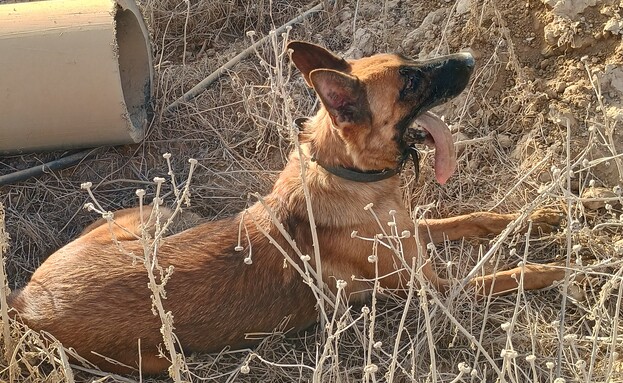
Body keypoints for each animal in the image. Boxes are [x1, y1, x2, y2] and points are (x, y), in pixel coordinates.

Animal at [7, 41, 568, 376]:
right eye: (409, 82)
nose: (471, 59)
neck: (347, 173)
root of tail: (26, 301)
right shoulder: (432, 290)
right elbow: (498, 276)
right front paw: (550, 269)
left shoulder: (411, 233)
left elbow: (471, 218)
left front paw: (537, 216)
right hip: (160, 338)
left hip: (162, 218)